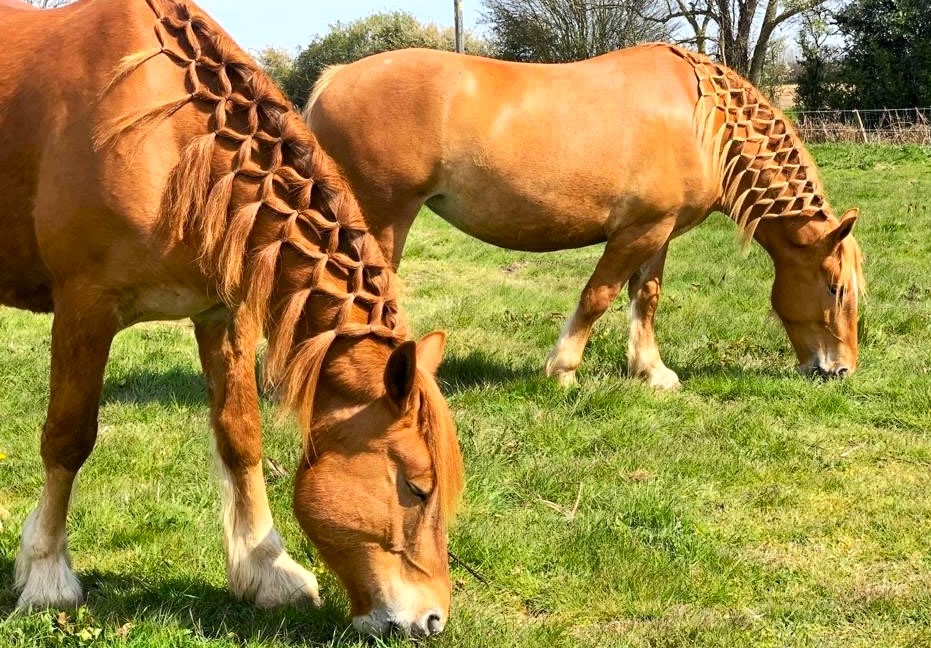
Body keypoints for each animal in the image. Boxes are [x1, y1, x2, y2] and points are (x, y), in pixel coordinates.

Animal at [0, 0, 464, 636]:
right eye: (417, 488)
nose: (432, 619)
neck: (174, 139)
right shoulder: (83, 309)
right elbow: (68, 439)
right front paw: (46, 574)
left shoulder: (225, 315)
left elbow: (242, 439)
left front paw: (268, 571)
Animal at [308, 48, 868, 390]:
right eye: (836, 288)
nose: (841, 370)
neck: (705, 122)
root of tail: (333, 80)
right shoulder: (637, 232)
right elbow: (598, 295)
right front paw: (563, 369)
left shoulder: (658, 231)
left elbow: (646, 297)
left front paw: (651, 371)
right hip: (383, 218)